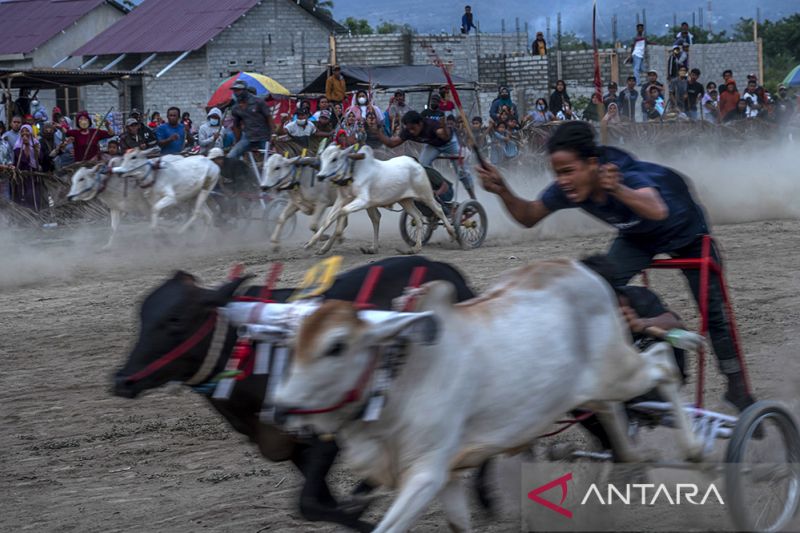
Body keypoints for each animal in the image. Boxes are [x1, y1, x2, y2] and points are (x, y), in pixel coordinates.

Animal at [111, 256, 488, 528]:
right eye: (142, 317)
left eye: (175, 319)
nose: (122, 380)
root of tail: (446, 271)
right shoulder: (291, 447)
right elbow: (321, 503)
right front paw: (357, 505)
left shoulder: (324, 435)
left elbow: (310, 505)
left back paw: (485, 498)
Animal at [274, 258, 700, 532]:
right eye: (292, 344)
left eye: (336, 346)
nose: (280, 408)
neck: (399, 378)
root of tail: (581, 271)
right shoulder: (447, 476)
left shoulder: (426, 473)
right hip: (596, 389)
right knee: (615, 420)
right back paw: (628, 458)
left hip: (619, 371)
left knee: (662, 361)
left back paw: (693, 448)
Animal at [306, 144, 456, 255]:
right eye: (322, 158)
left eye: (334, 159)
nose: (320, 176)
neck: (353, 172)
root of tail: (415, 162)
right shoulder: (342, 199)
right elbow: (328, 219)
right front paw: (313, 243)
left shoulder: (363, 201)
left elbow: (341, 213)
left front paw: (335, 237)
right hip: (405, 200)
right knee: (418, 217)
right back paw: (415, 248)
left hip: (425, 195)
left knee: (439, 209)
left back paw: (452, 233)